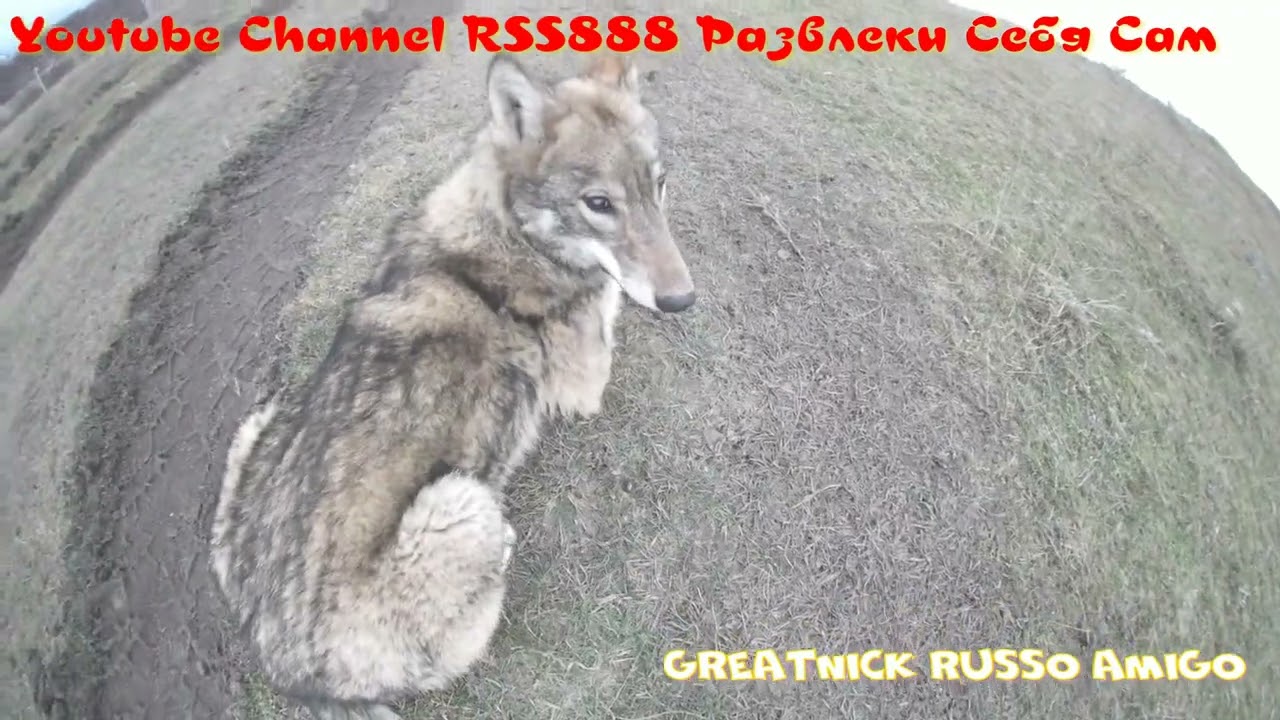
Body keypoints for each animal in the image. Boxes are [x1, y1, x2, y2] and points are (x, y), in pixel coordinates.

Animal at [208, 52, 695, 720]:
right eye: (599, 202)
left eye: (660, 185)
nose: (683, 300)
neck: (507, 230)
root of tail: (292, 674)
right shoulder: (586, 377)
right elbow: (610, 294)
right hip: (463, 501)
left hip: (260, 425)